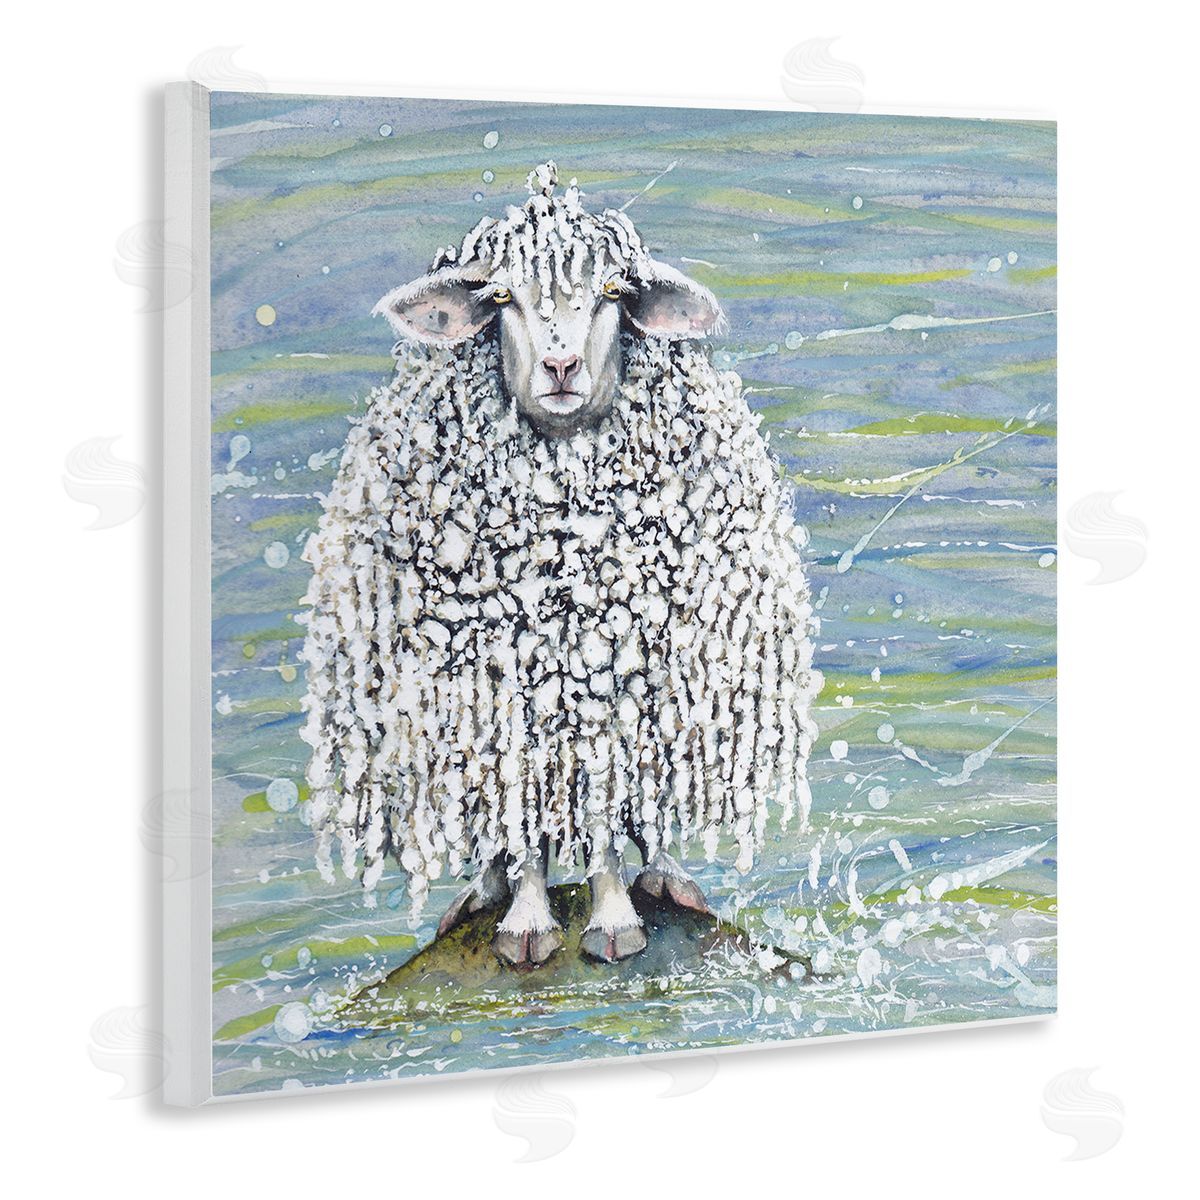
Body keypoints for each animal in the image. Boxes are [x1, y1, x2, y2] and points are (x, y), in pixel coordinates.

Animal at [299, 162, 821, 967]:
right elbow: (521, 823)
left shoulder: (610, 687)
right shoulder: (508, 697)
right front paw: (526, 924)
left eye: (614, 292)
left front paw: (613, 923)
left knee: (642, 804)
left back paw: (667, 878)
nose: (561, 365)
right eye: (500, 297)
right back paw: (481, 892)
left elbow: (604, 815)